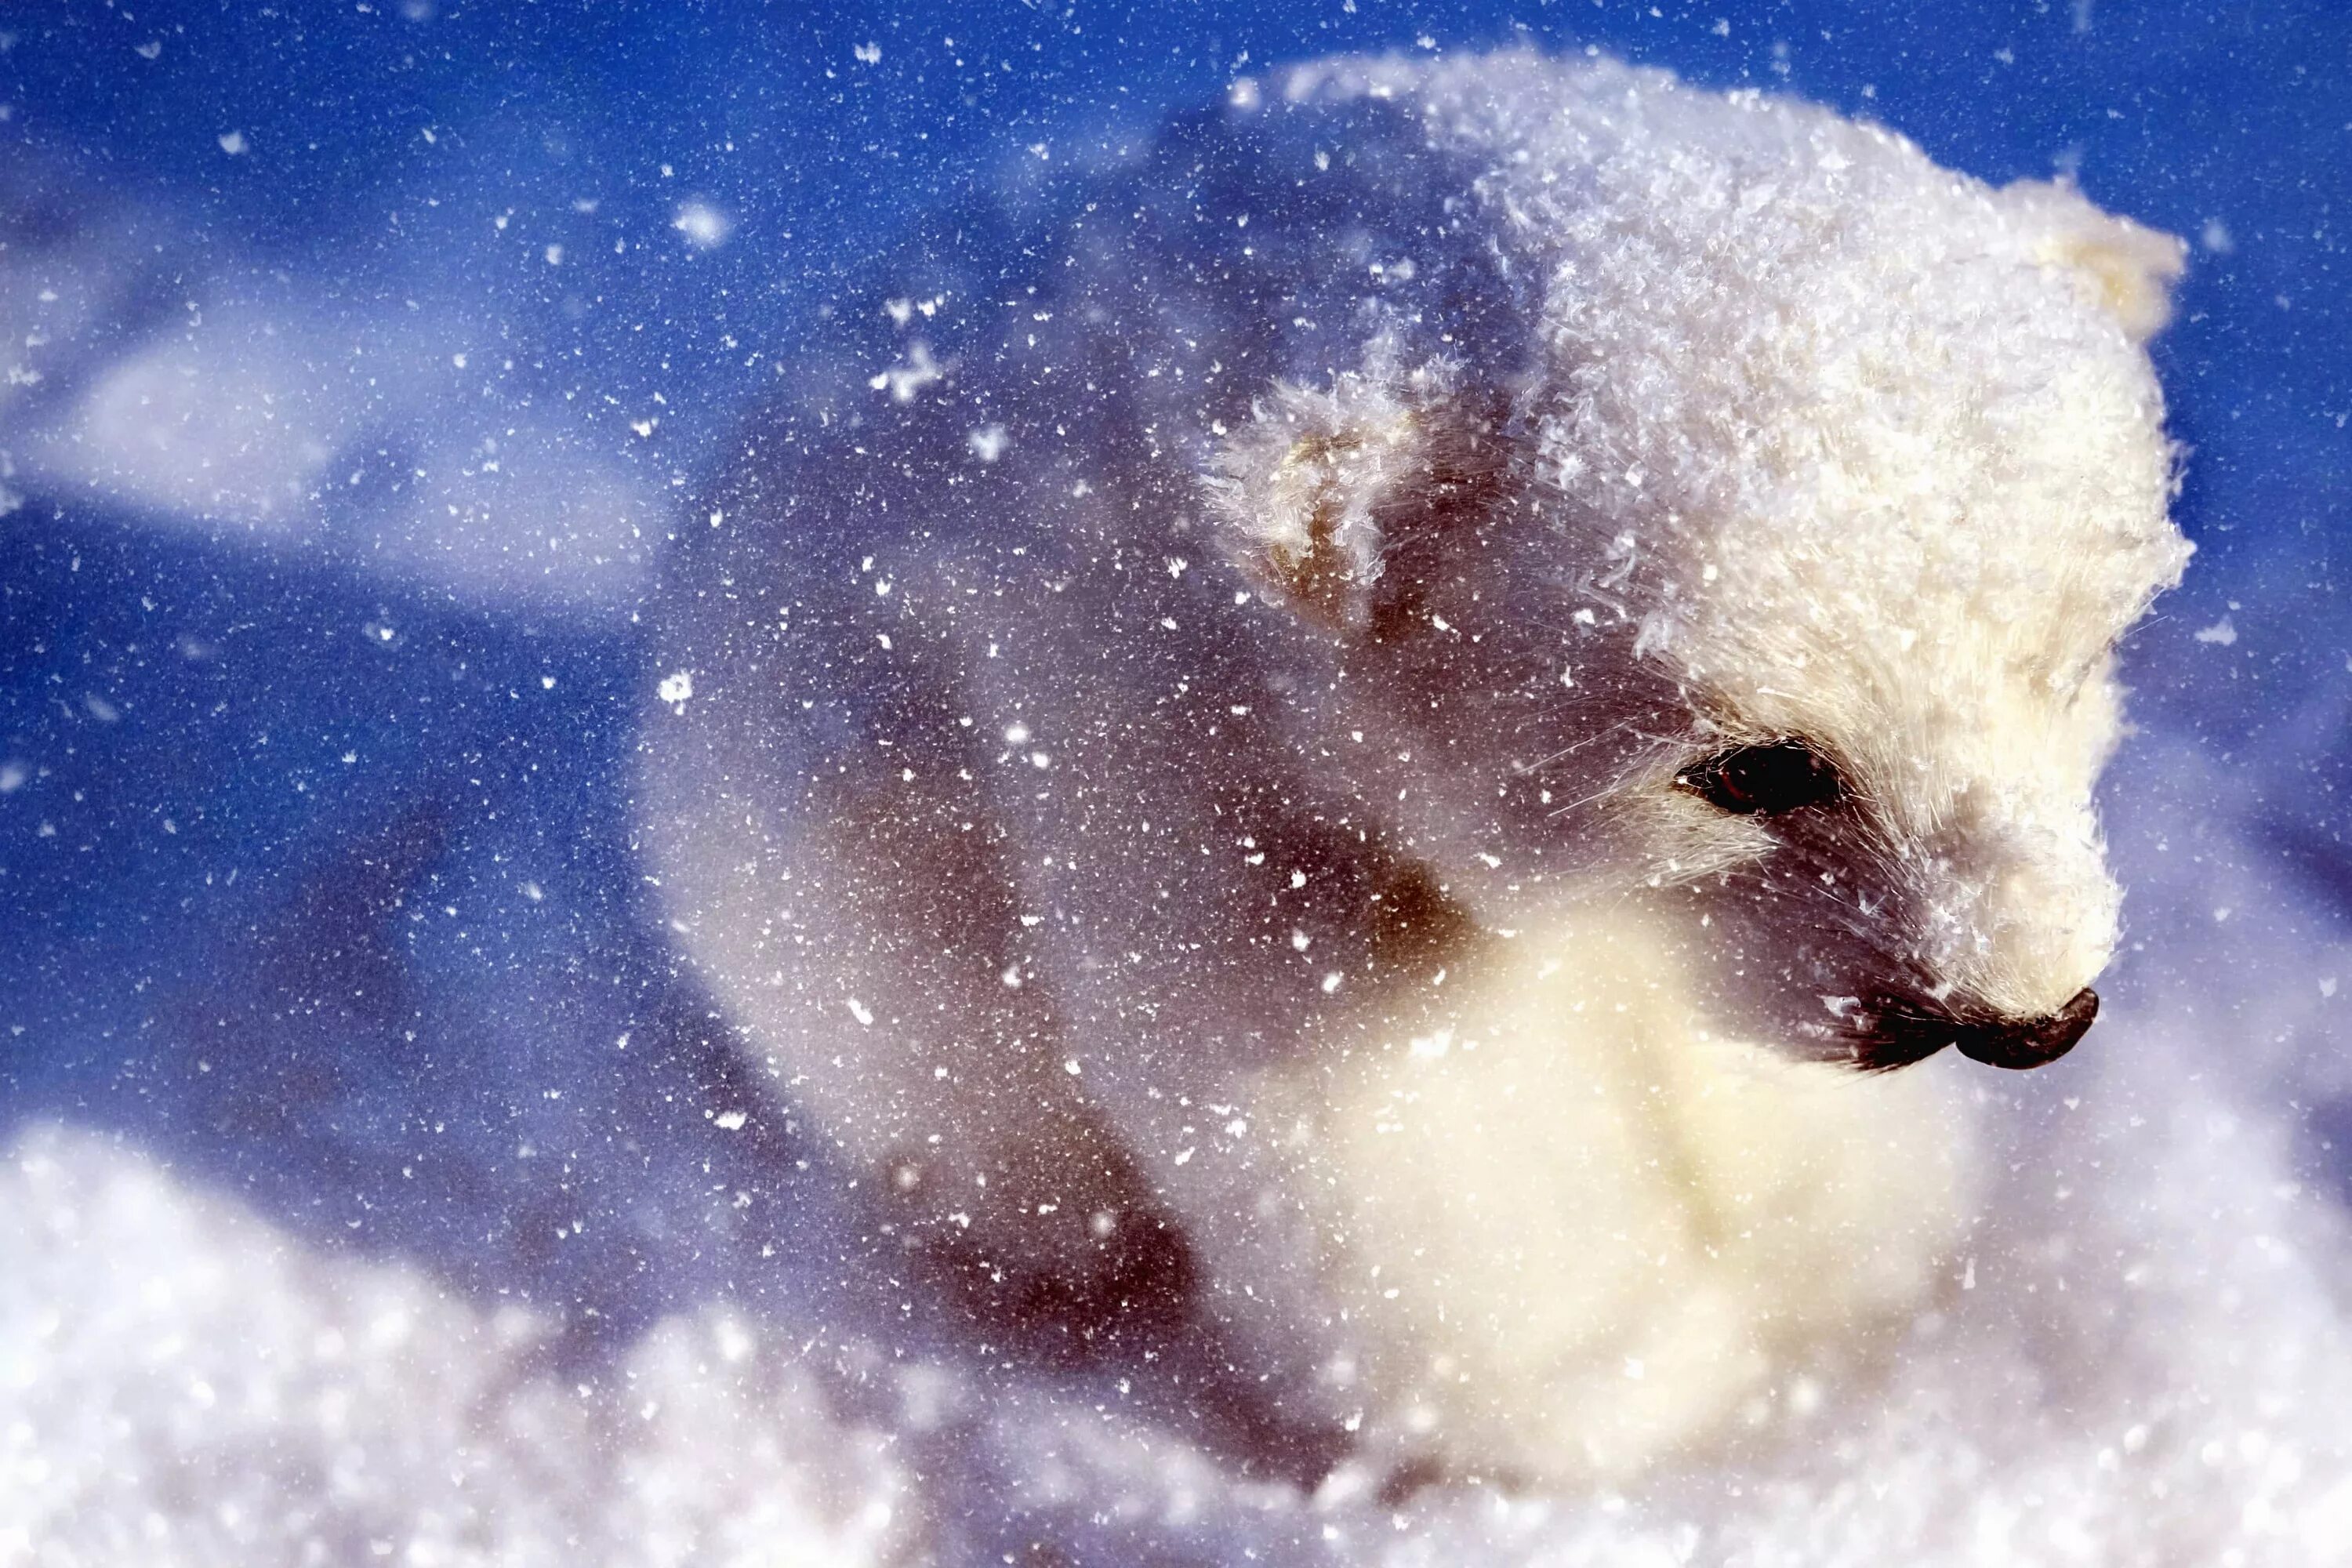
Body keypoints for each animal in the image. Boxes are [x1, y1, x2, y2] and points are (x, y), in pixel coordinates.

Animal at [630, 49, 2183, 1495]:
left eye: (2073, 661)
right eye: (1753, 768)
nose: (2027, 1018)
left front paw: (1844, 1262)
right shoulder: (1164, 733)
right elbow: (1374, 1106)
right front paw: (1635, 1381)